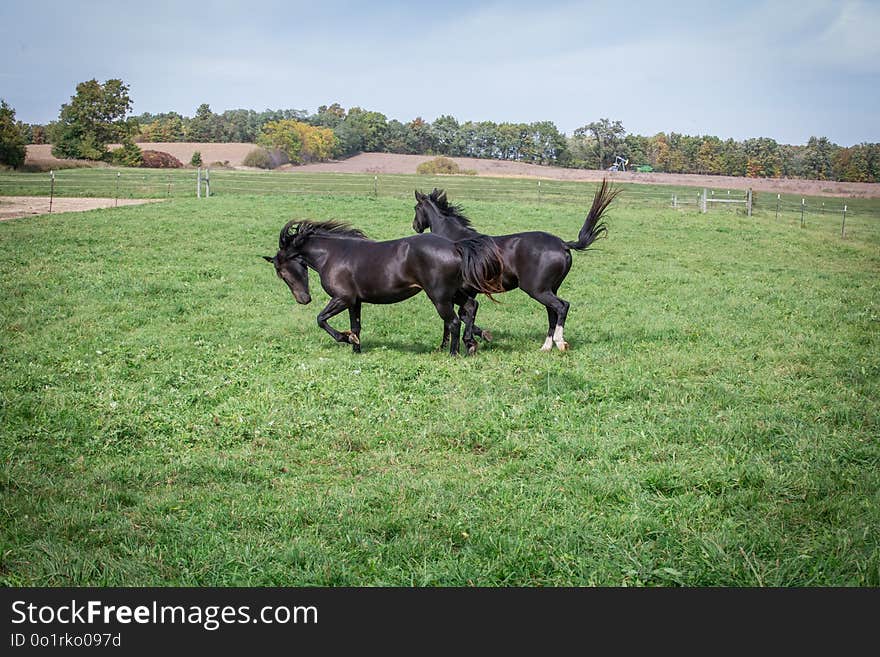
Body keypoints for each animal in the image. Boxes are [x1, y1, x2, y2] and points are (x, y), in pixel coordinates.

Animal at [262, 220, 502, 354]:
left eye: (282, 272)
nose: (303, 299)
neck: (332, 255)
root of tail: (455, 246)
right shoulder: (355, 301)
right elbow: (356, 326)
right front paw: (356, 348)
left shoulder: (342, 298)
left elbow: (321, 319)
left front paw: (345, 338)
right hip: (454, 293)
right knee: (470, 307)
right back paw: (471, 344)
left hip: (440, 296)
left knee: (453, 321)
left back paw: (453, 353)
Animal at [412, 181, 620, 348]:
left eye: (416, 208)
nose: (415, 226)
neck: (455, 239)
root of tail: (563, 244)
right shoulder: (467, 290)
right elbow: (465, 314)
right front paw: (477, 337)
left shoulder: (458, 290)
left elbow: (460, 316)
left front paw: (460, 341)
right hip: (548, 289)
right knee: (552, 312)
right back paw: (546, 347)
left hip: (536, 289)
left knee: (562, 307)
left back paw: (560, 342)